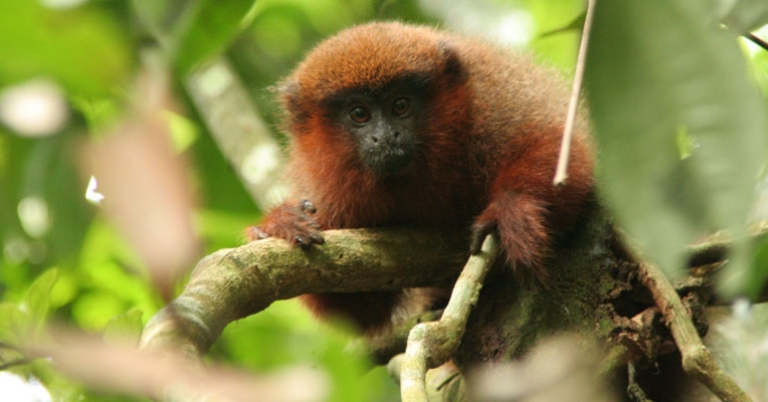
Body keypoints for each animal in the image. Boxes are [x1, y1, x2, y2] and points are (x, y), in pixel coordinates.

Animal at [247, 21, 595, 334]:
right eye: (359, 114)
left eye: (401, 105)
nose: (386, 136)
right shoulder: (334, 198)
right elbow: (354, 309)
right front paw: (279, 225)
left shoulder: (492, 104)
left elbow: (568, 154)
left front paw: (512, 209)